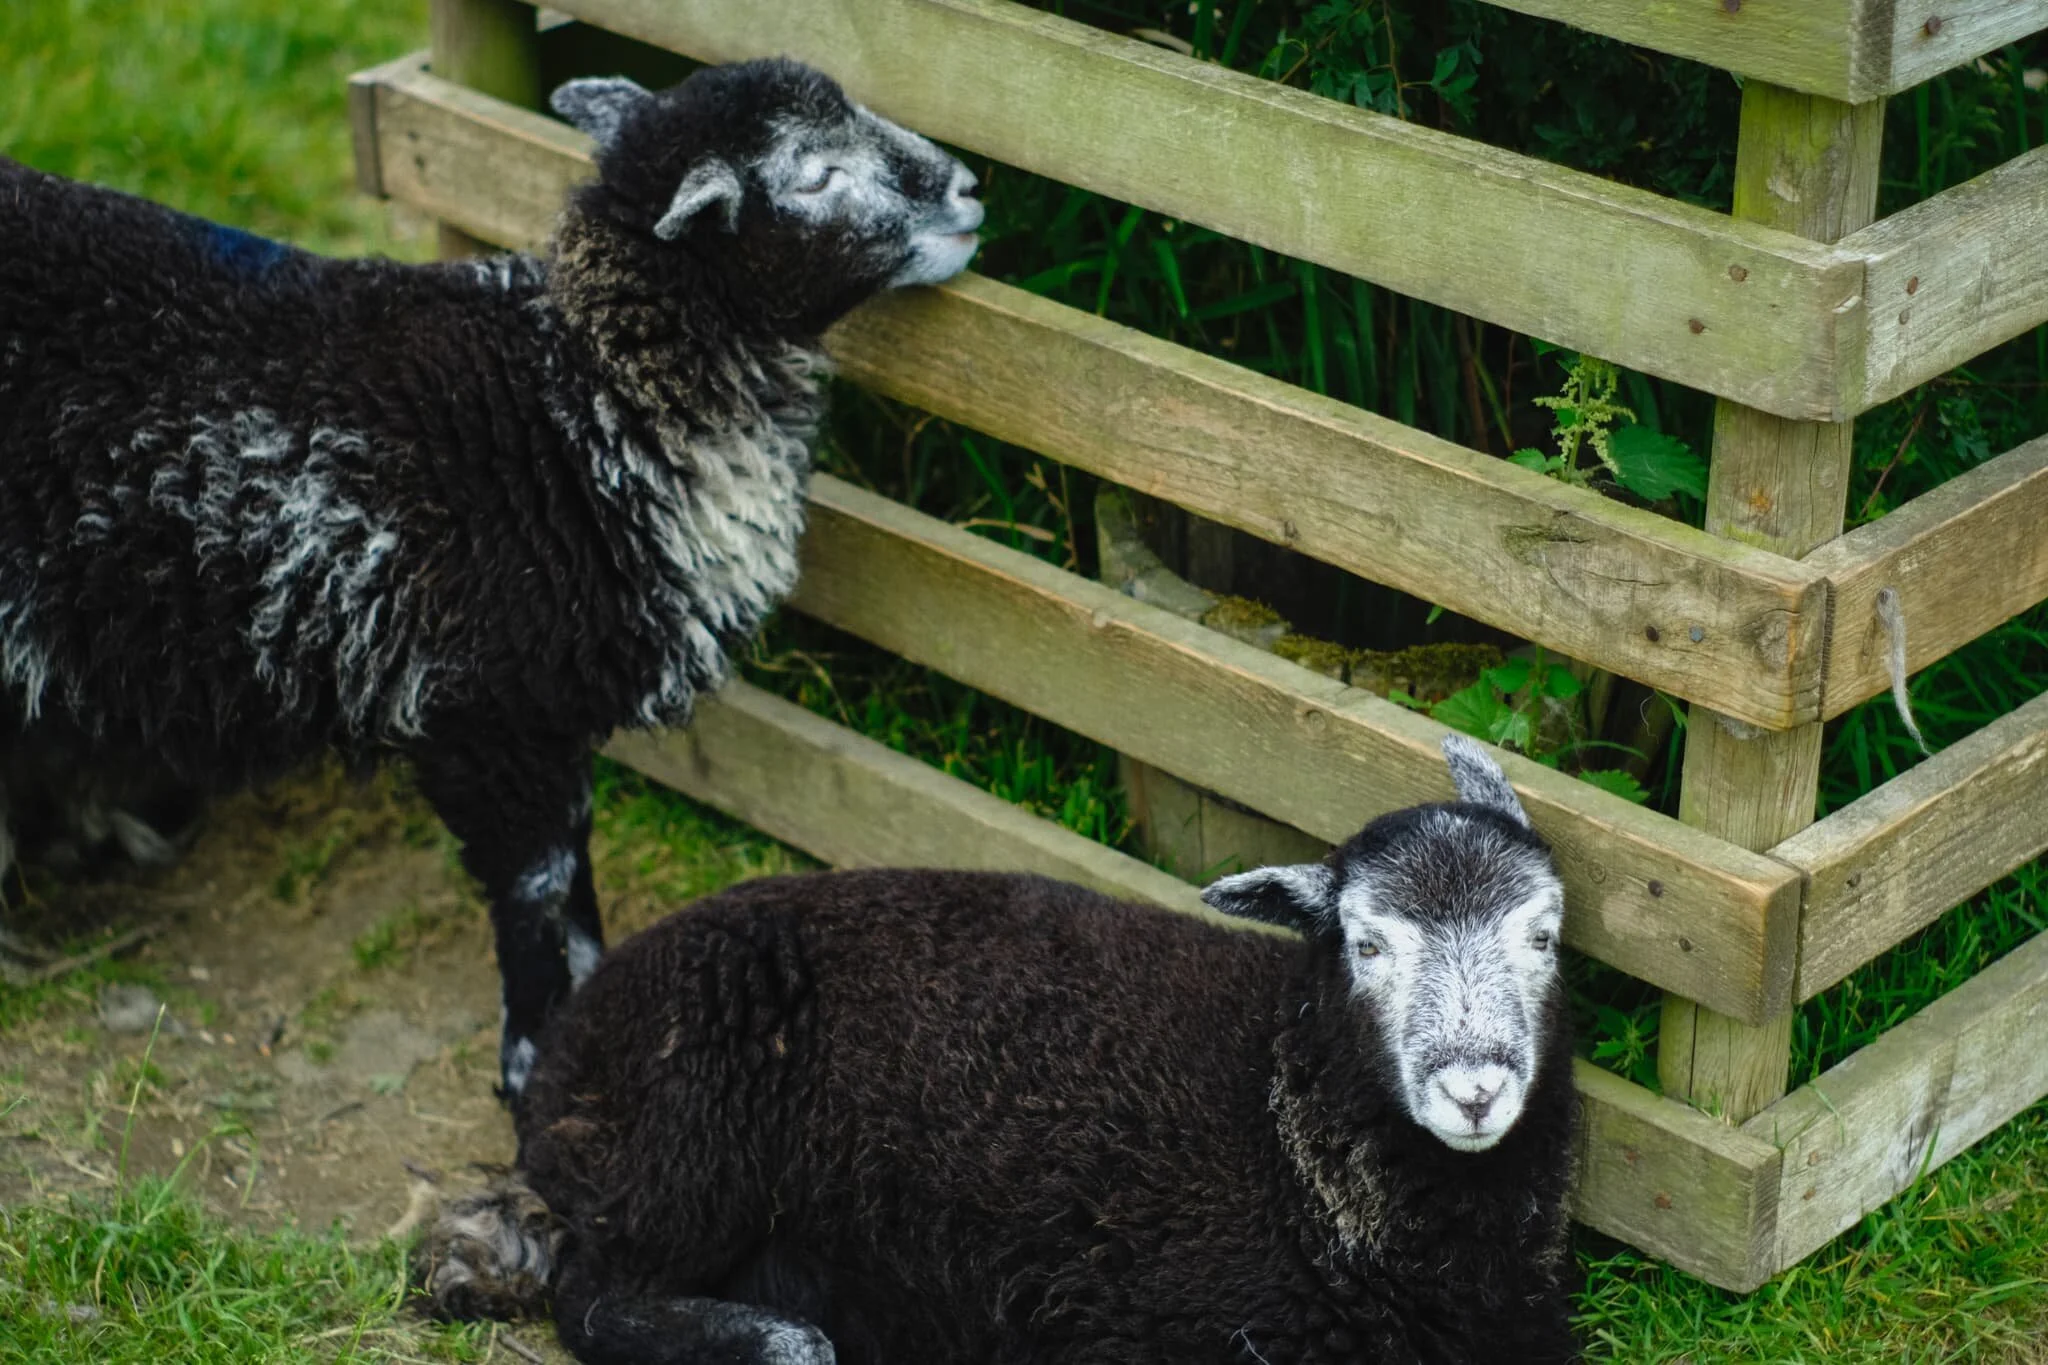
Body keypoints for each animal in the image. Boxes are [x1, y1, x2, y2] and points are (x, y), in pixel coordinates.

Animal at [0, 58, 983, 1094]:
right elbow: (537, 881)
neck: (570, 404)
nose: (971, 191)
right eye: (816, 174)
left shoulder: (544, 707)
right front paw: (532, 1053)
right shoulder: (479, 706)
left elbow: (577, 865)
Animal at [418, 734, 1581, 1363]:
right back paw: (772, 1337)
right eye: (1364, 943)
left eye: (1543, 934)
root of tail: (565, 1054)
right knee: (590, 1293)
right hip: (685, 1156)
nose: (1475, 1089)